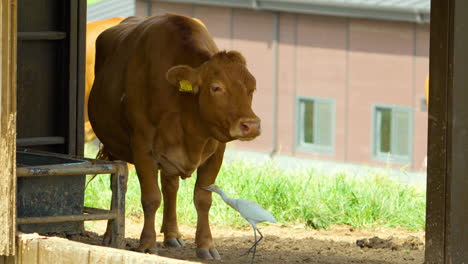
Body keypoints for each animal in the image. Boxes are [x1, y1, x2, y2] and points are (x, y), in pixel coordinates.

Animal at [88, 14, 260, 260]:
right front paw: (147, 244)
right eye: (216, 87)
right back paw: (111, 234)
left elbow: (203, 199)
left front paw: (206, 246)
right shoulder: (143, 149)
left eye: (252, 88)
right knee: (117, 186)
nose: (251, 125)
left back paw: (171, 234)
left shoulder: (216, 152)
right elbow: (151, 198)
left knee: (170, 186)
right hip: (113, 147)